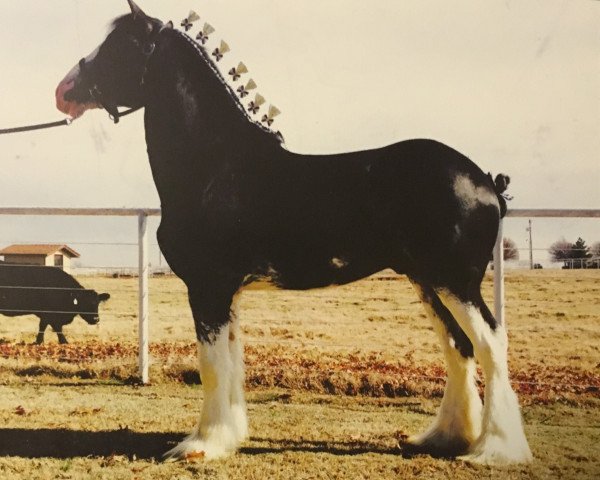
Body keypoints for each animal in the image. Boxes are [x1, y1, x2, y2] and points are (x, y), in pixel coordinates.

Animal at [56, 0, 528, 464]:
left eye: (120, 47)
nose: (63, 91)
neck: (217, 165)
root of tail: (485, 180)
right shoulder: (228, 293)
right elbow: (231, 361)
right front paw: (229, 436)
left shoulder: (208, 288)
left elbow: (212, 365)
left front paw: (202, 444)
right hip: (427, 281)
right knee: (458, 346)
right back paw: (445, 438)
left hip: (456, 282)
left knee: (490, 343)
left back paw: (495, 450)